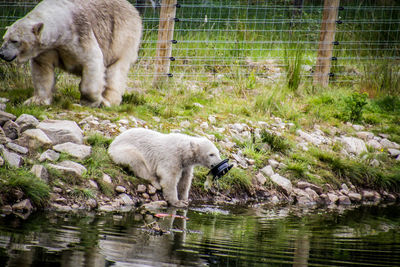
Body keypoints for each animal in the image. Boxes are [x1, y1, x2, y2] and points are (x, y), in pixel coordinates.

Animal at [0, 0, 141, 107]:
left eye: (15, 40)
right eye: (4, 38)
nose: (1, 53)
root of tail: (134, 9)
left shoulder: (80, 35)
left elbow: (92, 60)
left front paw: (92, 101)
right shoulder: (46, 50)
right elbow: (42, 71)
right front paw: (36, 100)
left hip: (121, 35)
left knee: (116, 68)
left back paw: (108, 101)